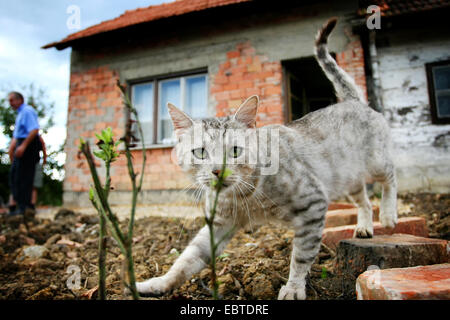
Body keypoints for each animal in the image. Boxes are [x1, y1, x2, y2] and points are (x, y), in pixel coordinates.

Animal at [135, 18, 396, 300]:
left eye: (234, 151)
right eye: (201, 152)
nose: (217, 171)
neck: (245, 196)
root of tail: (352, 101)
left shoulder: (313, 203)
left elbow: (301, 256)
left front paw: (293, 288)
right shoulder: (219, 224)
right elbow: (187, 258)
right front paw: (158, 283)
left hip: (376, 162)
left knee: (390, 179)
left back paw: (389, 215)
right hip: (347, 180)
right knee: (365, 201)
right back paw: (365, 227)